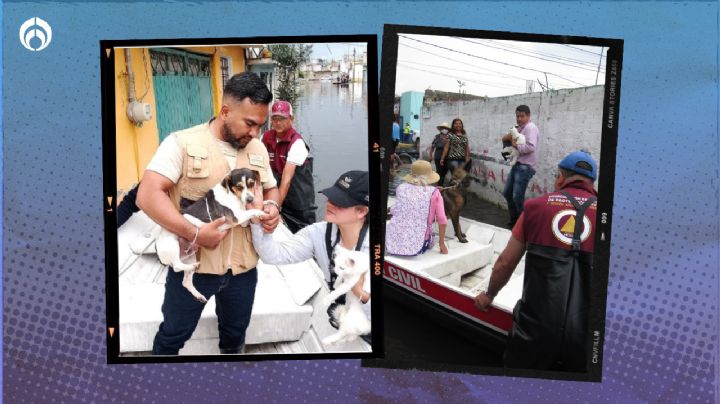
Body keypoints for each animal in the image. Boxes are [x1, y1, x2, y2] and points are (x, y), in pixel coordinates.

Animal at [153, 167, 266, 304]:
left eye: (251, 183)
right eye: (239, 186)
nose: (250, 200)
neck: (232, 195)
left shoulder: (241, 221)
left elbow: (251, 214)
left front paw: (267, 205)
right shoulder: (236, 218)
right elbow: (253, 211)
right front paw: (262, 212)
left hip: (189, 255)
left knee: (185, 281)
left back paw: (198, 293)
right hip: (172, 245)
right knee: (176, 266)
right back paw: (193, 266)